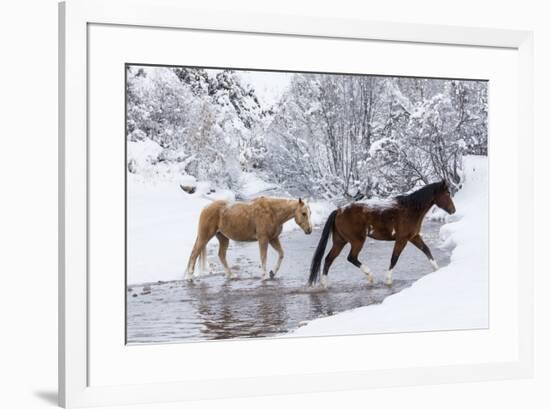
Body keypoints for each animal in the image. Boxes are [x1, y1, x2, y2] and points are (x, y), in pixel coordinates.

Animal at [310, 180, 458, 288]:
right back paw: (370, 276)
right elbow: (394, 258)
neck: (410, 210)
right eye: (447, 193)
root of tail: (339, 211)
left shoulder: (414, 237)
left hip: (340, 241)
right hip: (357, 241)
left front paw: (437, 270)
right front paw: (388, 280)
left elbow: (426, 250)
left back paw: (324, 284)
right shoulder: (402, 239)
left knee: (328, 259)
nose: (453, 210)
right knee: (351, 258)